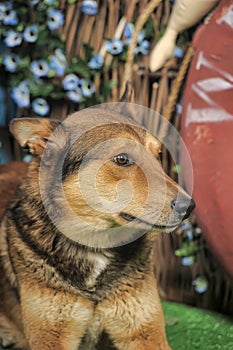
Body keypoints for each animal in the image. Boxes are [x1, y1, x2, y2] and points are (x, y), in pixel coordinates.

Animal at [0, 85, 195, 350]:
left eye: (157, 154)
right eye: (122, 159)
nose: (189, 206)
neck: (96, 245)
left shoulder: (144, 331)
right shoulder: (50, 336)